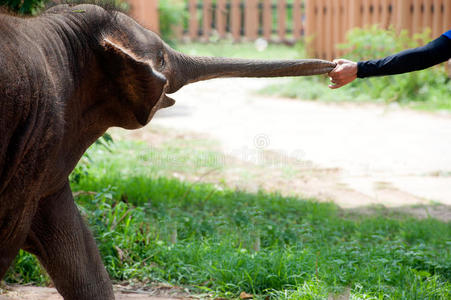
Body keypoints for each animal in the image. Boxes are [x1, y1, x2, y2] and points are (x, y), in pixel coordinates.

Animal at [0, 2, 336, 300]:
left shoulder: (43, 154)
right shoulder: (36, 137)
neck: (58, 35)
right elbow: (13, 232)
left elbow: (74, 245)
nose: (332, 67)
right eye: (161, 59)